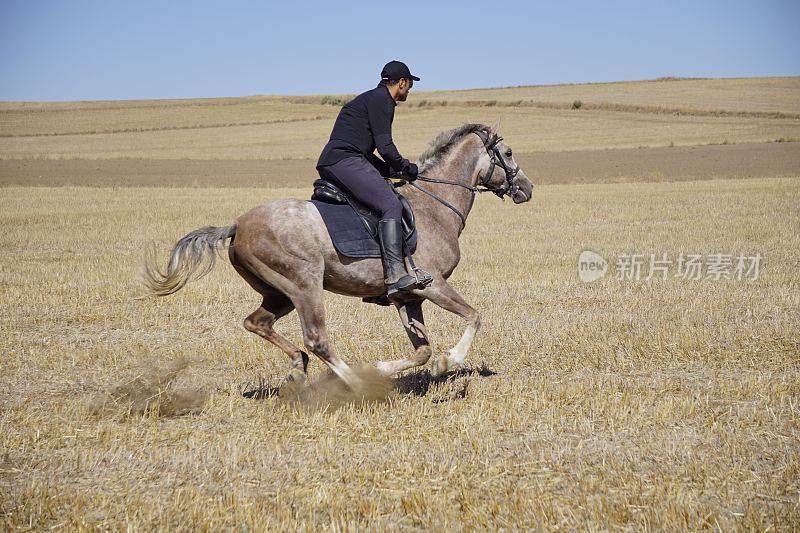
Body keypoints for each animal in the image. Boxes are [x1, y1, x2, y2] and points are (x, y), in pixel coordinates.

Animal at [145, 123, 532, 390]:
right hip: (305, 286)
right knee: (316, 339)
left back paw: (297, 371)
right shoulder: (431, 285)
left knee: (258, 323)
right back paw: (354, 384)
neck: (434, 206)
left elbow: (422, 350)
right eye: (509, 152)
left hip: (279, 293)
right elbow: (474, 317)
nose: (527, 189)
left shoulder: (407, 295)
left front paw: (385, 368)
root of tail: (237, 225)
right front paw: (448, 360)